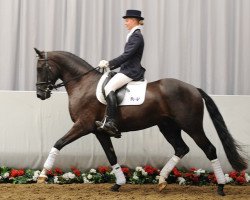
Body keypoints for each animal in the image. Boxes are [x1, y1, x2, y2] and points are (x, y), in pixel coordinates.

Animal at [34, 48, 247, 195]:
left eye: (40, 68)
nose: (39, 94)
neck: (83, 84)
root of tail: (194, 88)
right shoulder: (99, 131)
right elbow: (111, 156)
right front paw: (118, 184)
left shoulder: (83, 125)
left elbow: (58, 143)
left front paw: (43, 175)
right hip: (168, 126)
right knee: (181, 148)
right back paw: (161, 180)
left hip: (191, 125)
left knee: (209, 149)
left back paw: (220, 187)